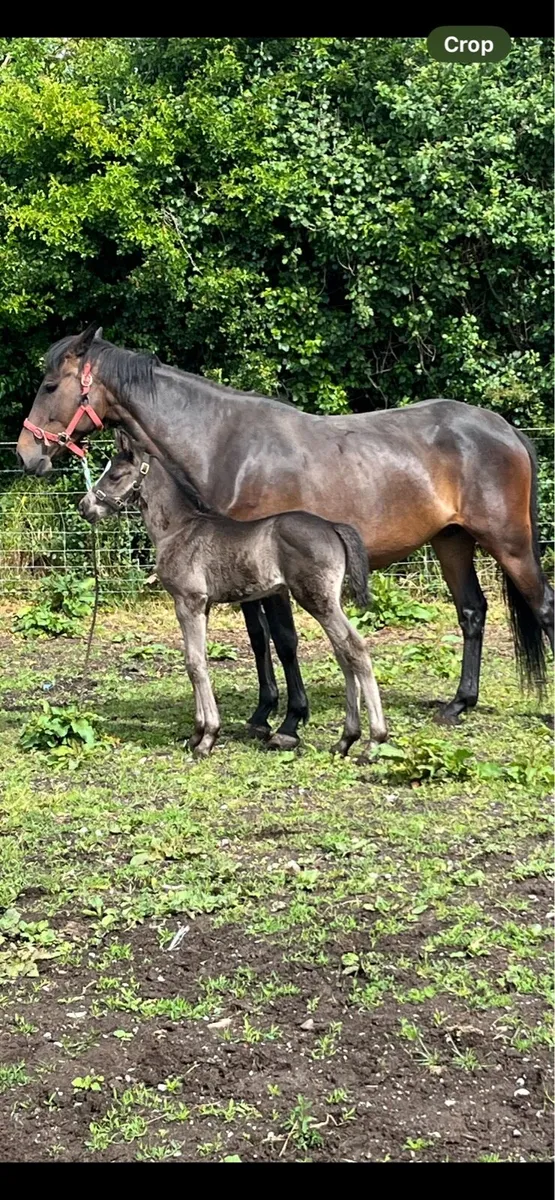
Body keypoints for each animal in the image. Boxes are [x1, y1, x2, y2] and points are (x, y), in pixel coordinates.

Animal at [78, 431, 387, 758]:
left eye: (115, 475)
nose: (84, 506)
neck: (179, 530)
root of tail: (332, 526)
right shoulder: (202, 606)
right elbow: (196, 659)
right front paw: (197, 733)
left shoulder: (189, 602)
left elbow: (195, 663)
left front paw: (207, 738)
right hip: (327, 602)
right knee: (343, 653)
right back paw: (345, 739)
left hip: (317, 600)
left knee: (355, 648)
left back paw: (373, 741)